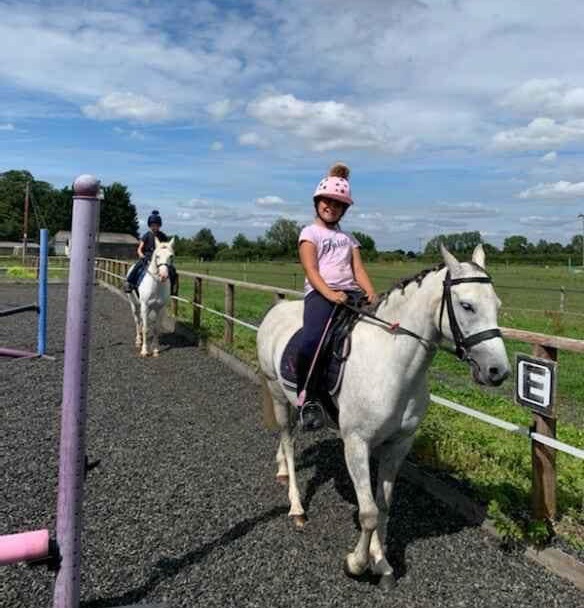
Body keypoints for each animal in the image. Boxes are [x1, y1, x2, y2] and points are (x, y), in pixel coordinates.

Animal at [258, 245, 508, 592]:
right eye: (466, 305)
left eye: (497, 305)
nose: (498, 371)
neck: (393, 362)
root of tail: (278, 309)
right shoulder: (356, 443)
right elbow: (368, 513)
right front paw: (356, 563)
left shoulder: (398, 444)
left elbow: (385, 506)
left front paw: (382, 563)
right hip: (277, 393)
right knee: (288, 439)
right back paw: (296, 506)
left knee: (287, 440)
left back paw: (281, 469)